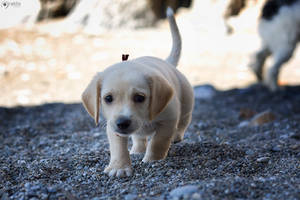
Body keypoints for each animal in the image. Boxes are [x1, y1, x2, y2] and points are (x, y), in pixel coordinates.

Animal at [81, 7, 195, 177]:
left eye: (140, 98)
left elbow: (158, 142)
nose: (122, 123)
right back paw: (137, 149)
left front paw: (153, 160)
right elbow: (118, 148)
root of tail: (167, 62)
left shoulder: (169, 119)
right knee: (138, 138)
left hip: (186, 103)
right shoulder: (112, 127)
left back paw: (176, 137)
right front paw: (119, 167)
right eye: (108, 98)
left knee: (183, 122)